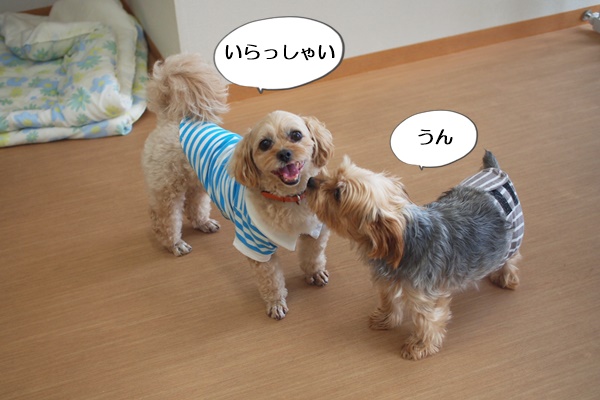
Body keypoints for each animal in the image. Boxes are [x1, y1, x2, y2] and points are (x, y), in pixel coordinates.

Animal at [141, 54, 334, 320]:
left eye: (296, 135)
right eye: (265, 144)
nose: (284, 153)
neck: (287, 199)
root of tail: (174, 120)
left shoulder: (315, 232)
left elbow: (312, 257)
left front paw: (314, 274)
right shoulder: (255, 245)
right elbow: (271, 280)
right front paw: (276, 303)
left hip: (197, 182)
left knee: (194, 204)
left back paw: (204, 223)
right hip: (168, 189)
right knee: (164, 219)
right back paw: (174, 244)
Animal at [305, 151, 524, 359]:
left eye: (337, 193)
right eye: (334, 174)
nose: (310, 181)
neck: (402, 244)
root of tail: (495, 171)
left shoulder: (425, 296)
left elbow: (426, 321)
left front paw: (419, 347)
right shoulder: (387, 280)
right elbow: (389, 300)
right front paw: (385, 319)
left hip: (513, 236)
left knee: (511, 258)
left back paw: (505, 277)